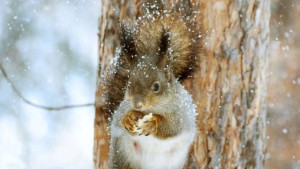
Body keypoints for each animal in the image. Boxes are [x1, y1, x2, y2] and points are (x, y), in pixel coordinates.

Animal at [108, 11, 199, 169]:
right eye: (129, 84)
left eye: (156, 86)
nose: (137, 104)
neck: (152, 108)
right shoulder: (123, 107)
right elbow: (119, 118)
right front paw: (128, 118)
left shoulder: (182, 113)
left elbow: (172, 127)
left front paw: (152, 123)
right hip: (123, 152)